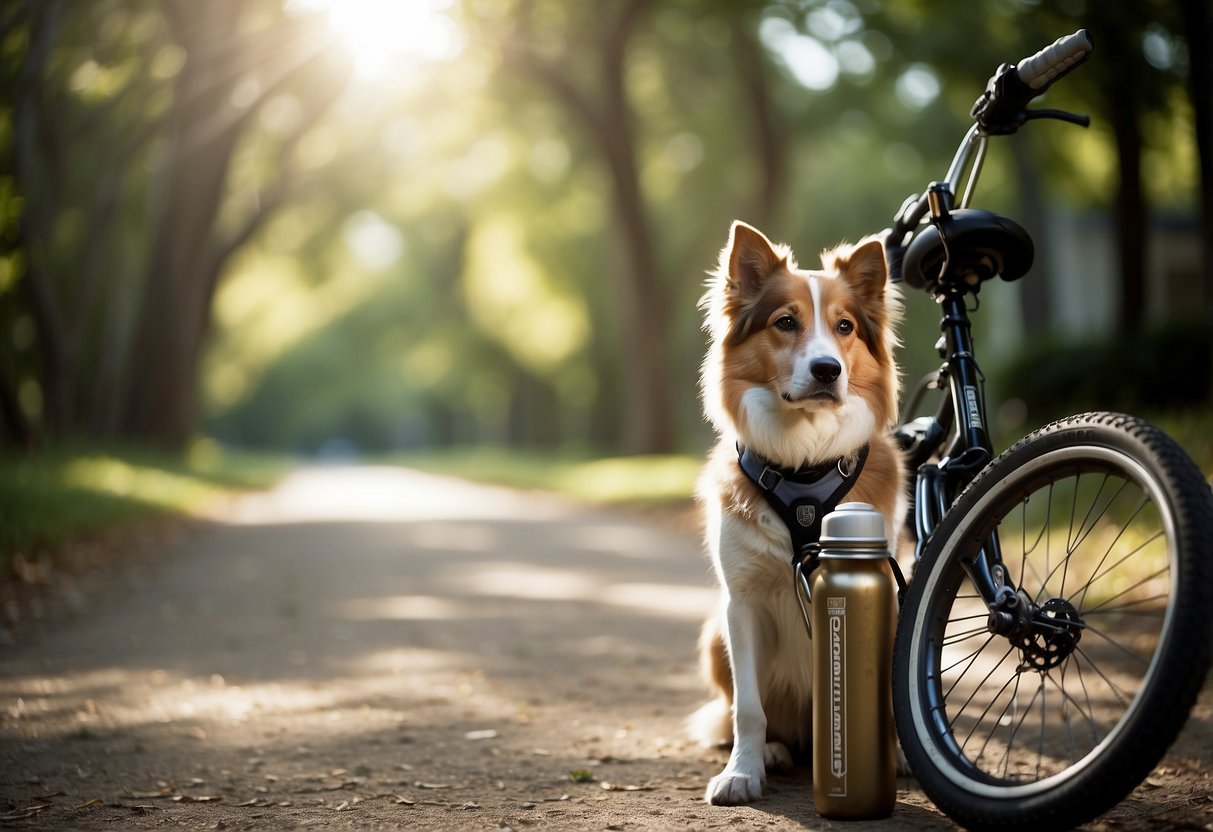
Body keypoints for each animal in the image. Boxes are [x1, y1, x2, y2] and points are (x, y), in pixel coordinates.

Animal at [688, 221, 907, 810]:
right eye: (785, 322)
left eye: (844, 327)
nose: (827, 369)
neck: (805, 466)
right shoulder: (740, 604)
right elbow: (748, 708)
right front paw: (742, 772)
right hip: (713, 633)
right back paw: (774, 751)